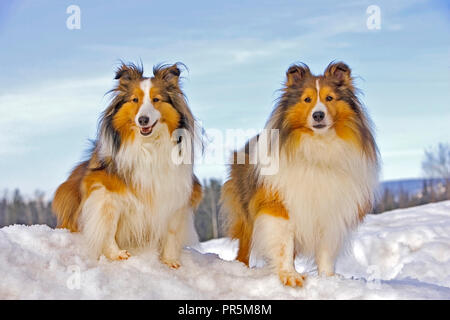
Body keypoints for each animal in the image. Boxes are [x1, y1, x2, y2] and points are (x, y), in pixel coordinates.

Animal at [52, 62, 202, 268]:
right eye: (135, 100)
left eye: (156, 99)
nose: (143, 120)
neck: (148, 146)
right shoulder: (104, 191)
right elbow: (108, 224)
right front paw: (116, 254)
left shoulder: (174, 190)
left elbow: (171, 230)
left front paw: (170, 261)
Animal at [221, 61, 380, 286]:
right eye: (307, 99)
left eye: (329, 98)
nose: (318, 115)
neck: (318, 148)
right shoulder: (279, 205)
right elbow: (284, 245)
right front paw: (290, 276)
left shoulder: (330, 211)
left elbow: (325, 251)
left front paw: (328, 278)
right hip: (246, 213)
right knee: (245, 245)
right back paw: (242, 269)